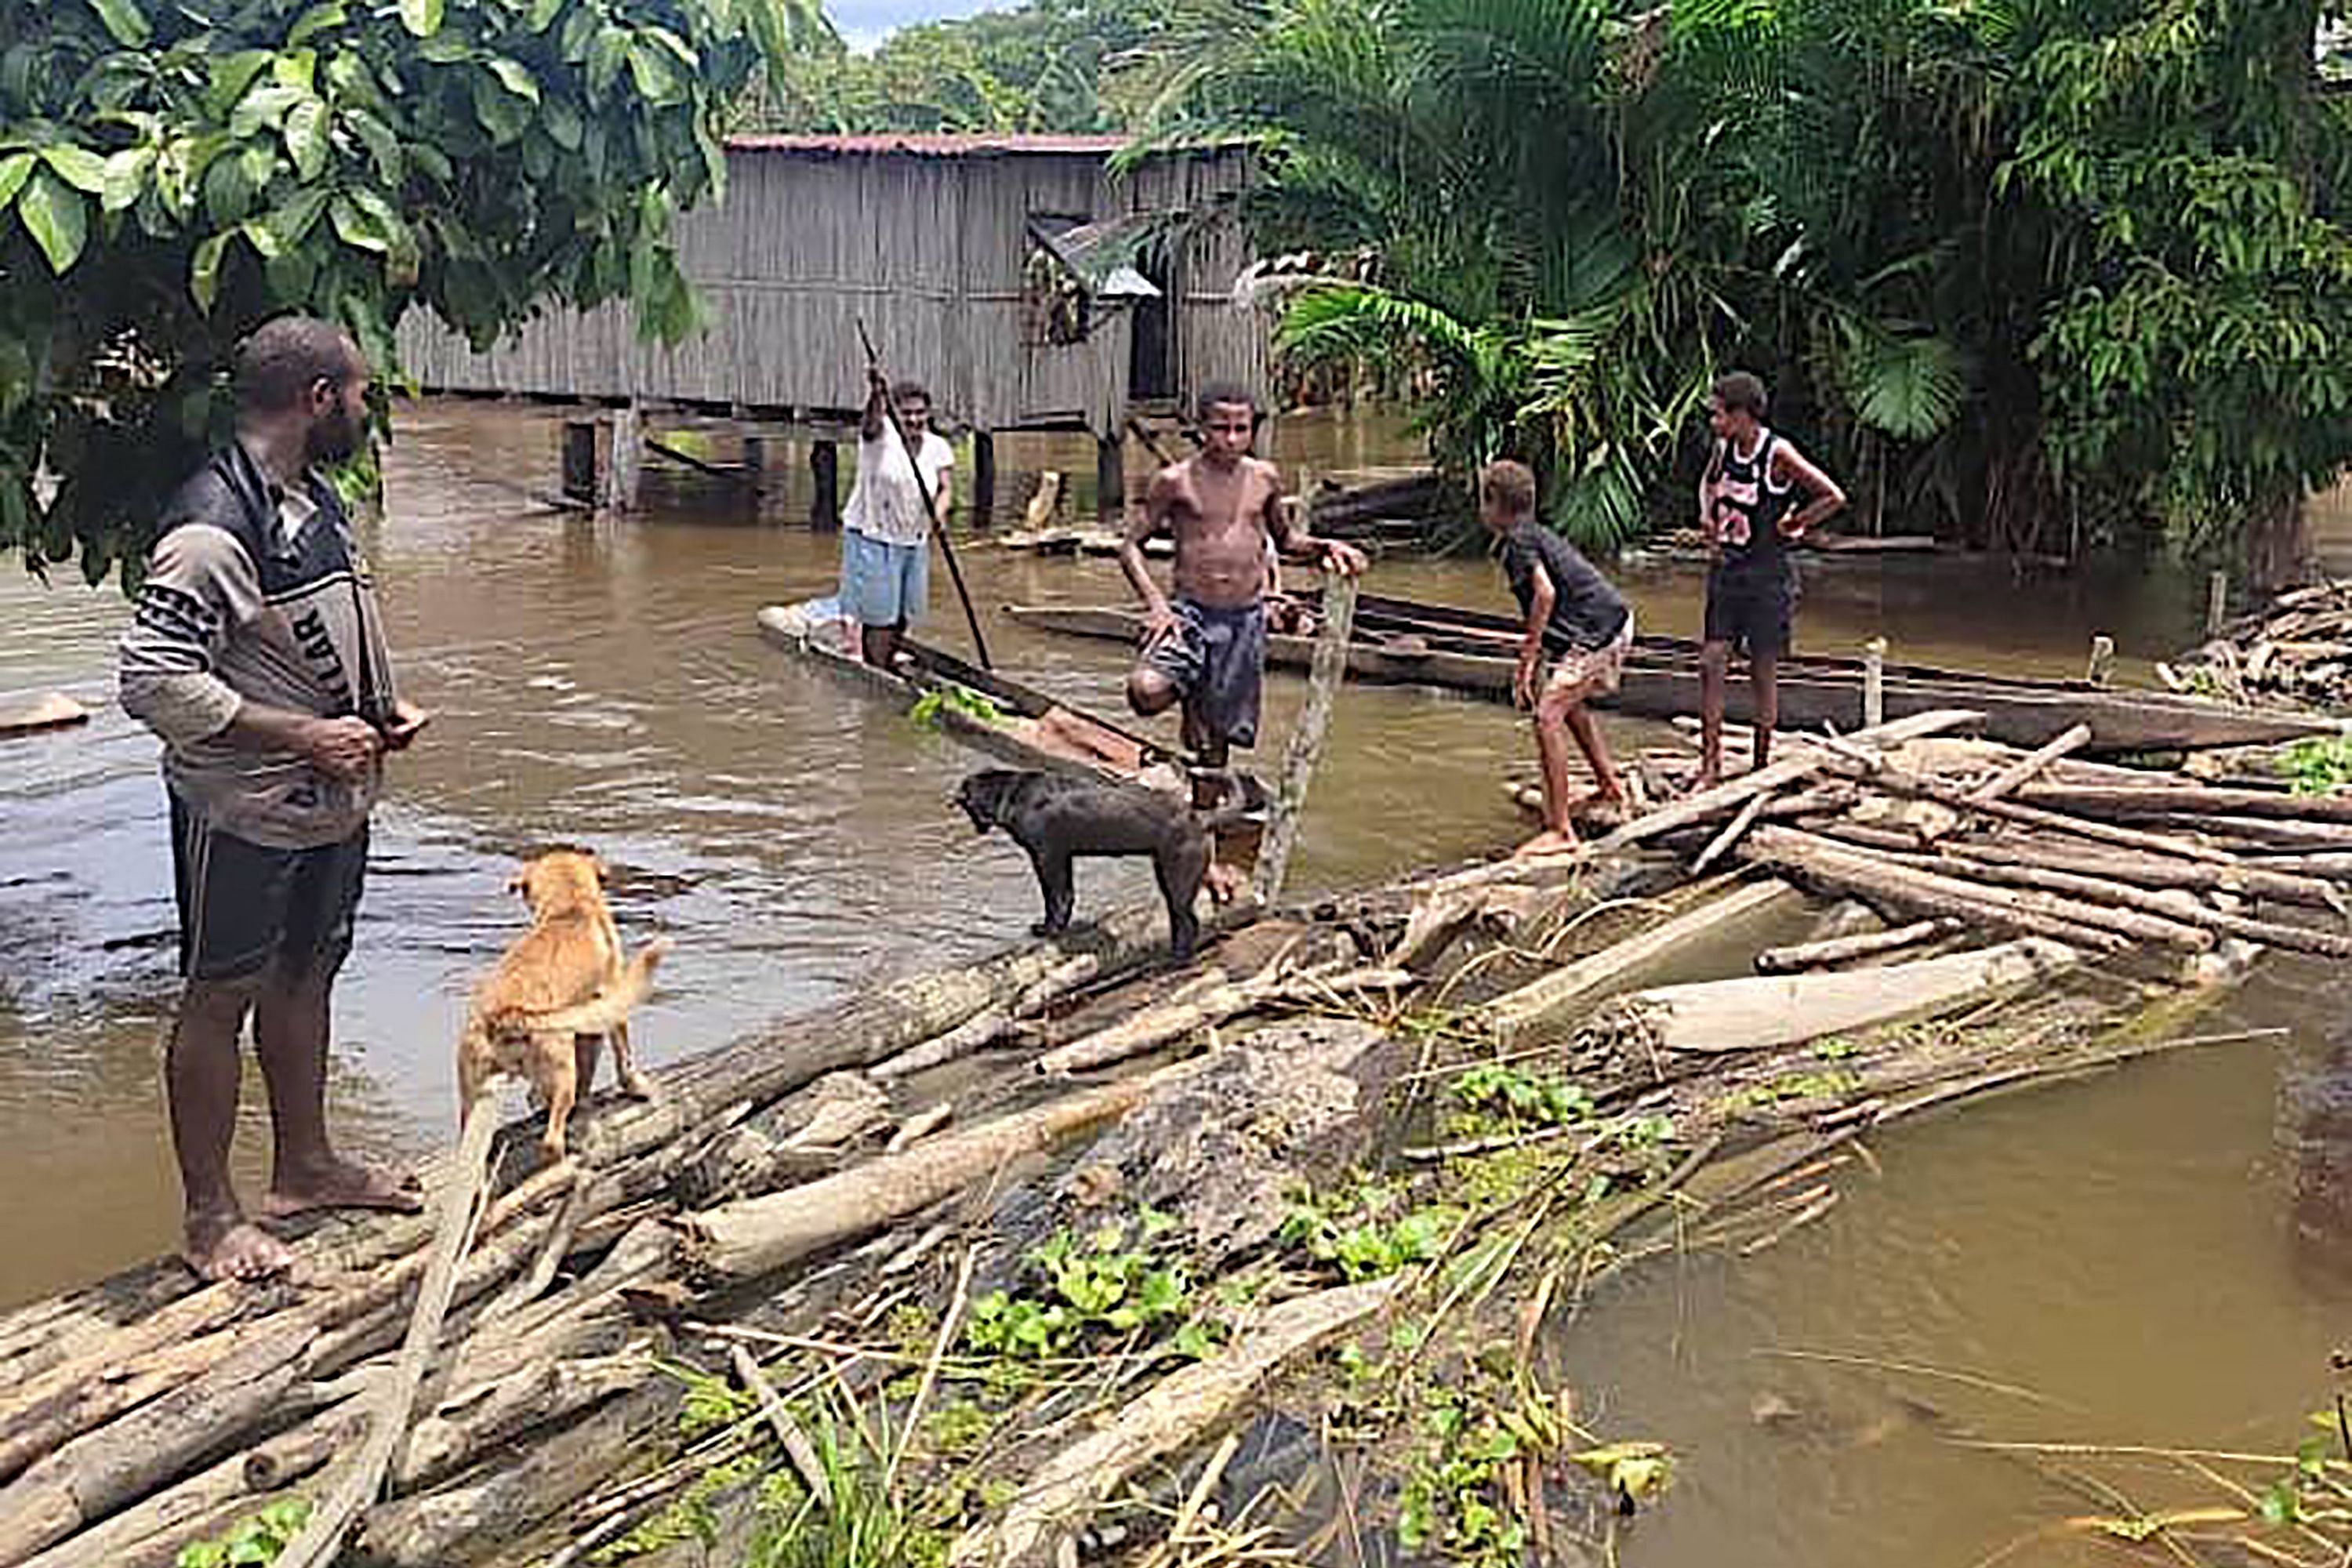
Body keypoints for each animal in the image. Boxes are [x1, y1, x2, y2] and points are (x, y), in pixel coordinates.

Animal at [456, 851, 673, 1161]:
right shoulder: (610, 1004)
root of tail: (506, 1015)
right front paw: (636, 1086)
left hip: (473, 1096)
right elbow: (621, 1058)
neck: (569, 906)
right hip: (561, 1070)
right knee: (551, 1139)